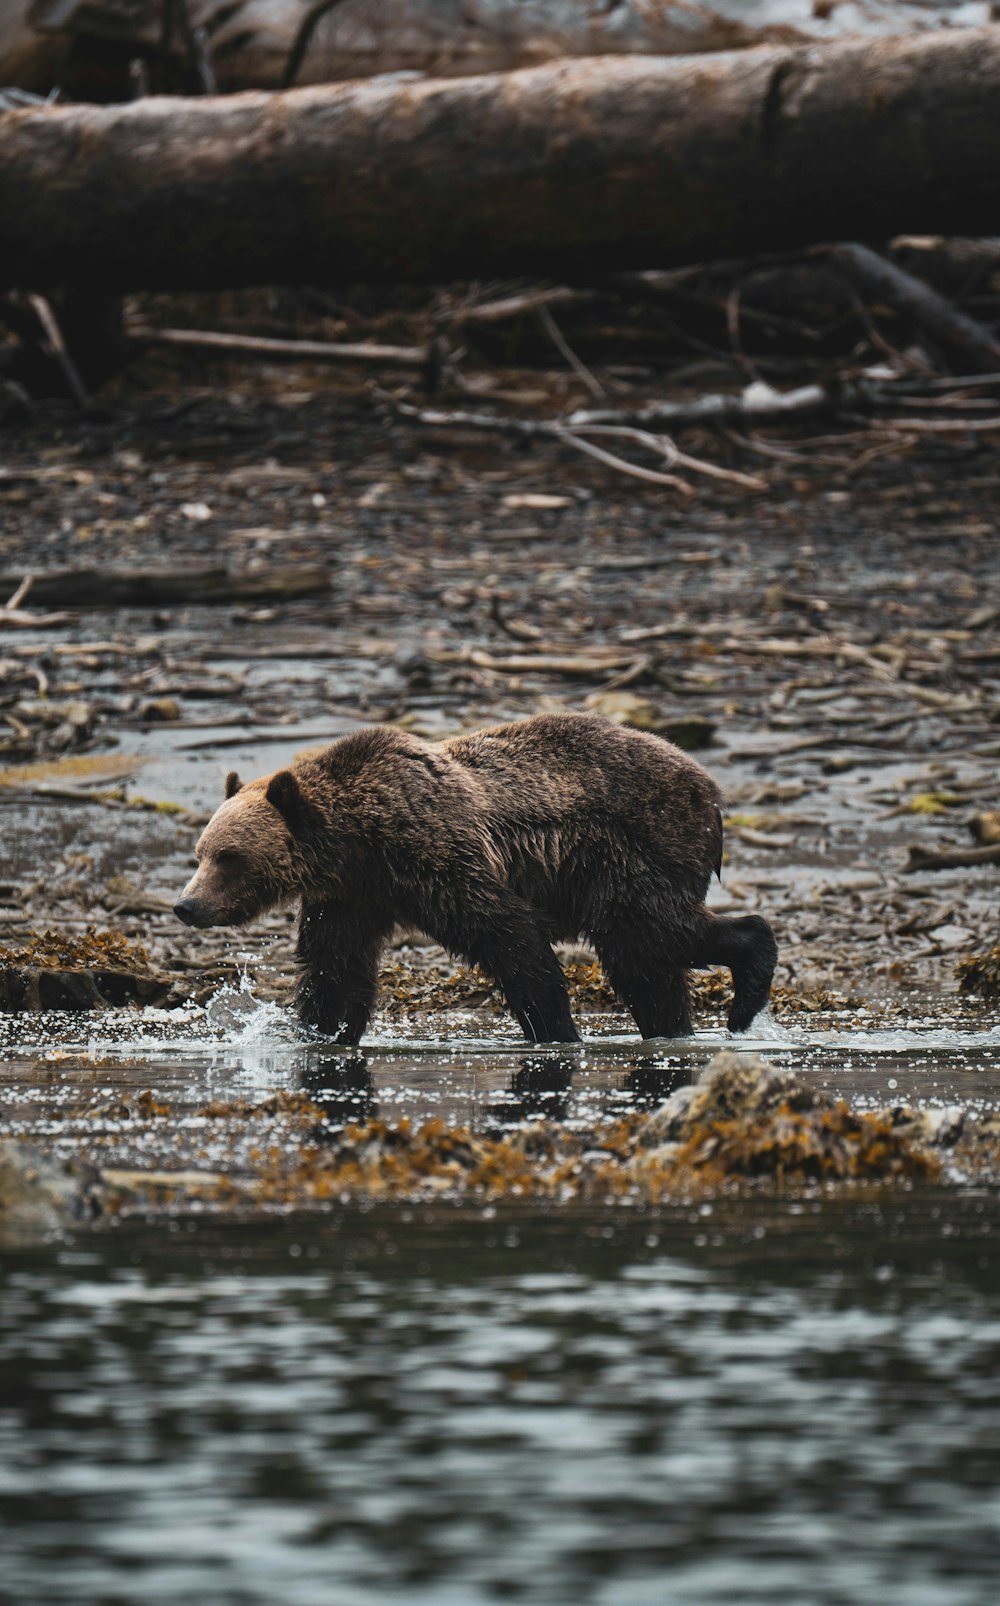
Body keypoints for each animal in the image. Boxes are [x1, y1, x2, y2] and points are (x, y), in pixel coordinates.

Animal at [175, 713, 780, 1040]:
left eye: (228, 856)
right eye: (200, 853)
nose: (187, 905)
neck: (360, 839)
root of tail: (710, 788)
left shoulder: (437, 855)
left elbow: (508, 936)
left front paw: (554, 1030)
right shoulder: (352, 895)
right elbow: (335, 968)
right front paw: (319, 1033)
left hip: (635, 849)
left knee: (650, 932)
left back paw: (745, 991)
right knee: (646, 966)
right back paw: (673, 1026)